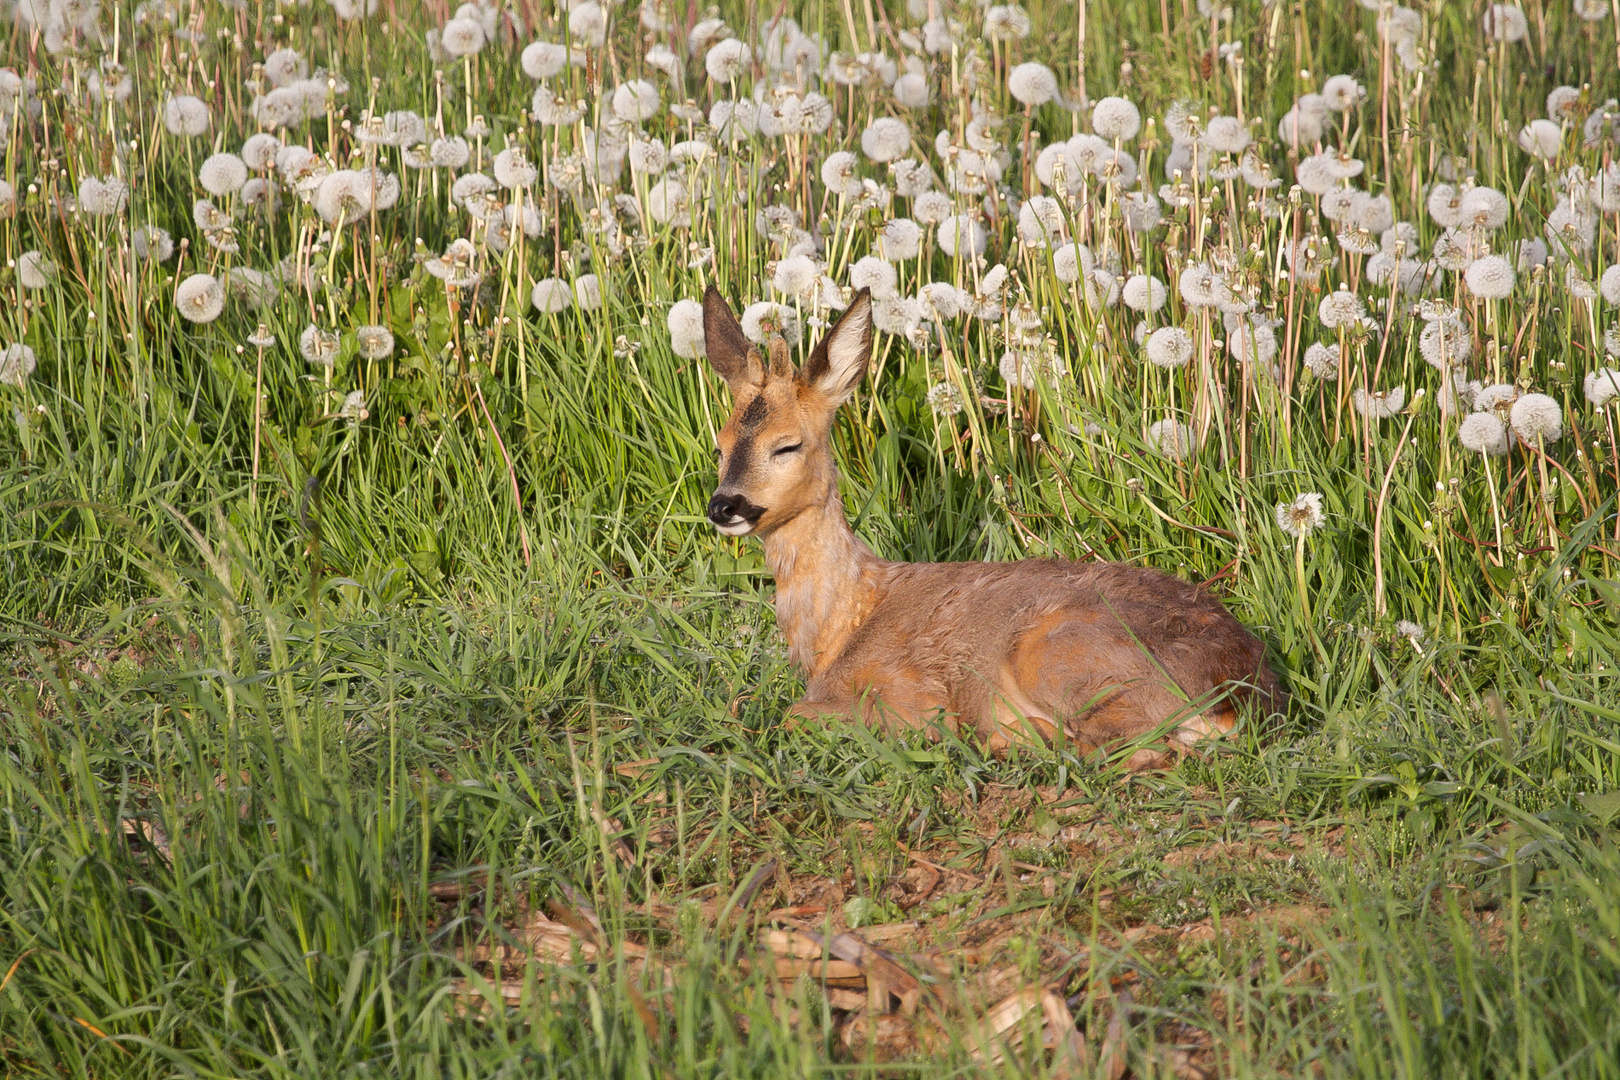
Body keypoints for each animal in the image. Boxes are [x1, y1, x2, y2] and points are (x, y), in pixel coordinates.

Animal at [703, 283, 1283, 764]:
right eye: (721, 445)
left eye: (787, 445)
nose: (723, 506)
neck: (839, 627)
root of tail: (1246, 693)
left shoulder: (905, 692)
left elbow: (795, 715)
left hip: (1060, 654)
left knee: (1135, 748)